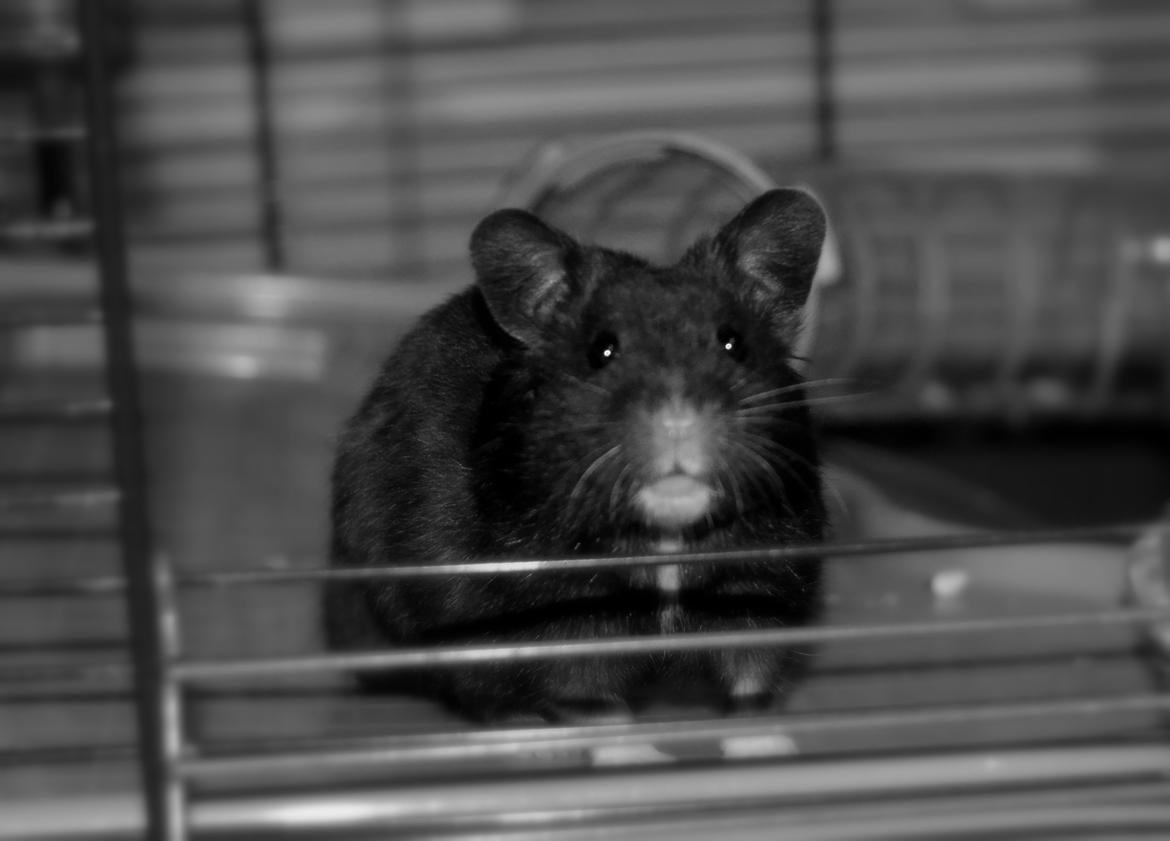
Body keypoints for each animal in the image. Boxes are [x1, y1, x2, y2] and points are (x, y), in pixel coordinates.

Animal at [325, 188, 827, 722]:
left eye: (734, 344)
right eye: (601, 351)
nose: (678, 422)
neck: (667, 537)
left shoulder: (761, 592)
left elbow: (752, 681)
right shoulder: (566, 625)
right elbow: (590, 700)